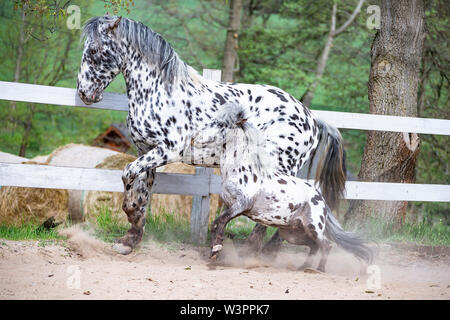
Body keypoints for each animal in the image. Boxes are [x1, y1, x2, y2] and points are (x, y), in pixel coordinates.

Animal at [76, 15, 348, 255]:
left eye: (94, 51)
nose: (84, 93)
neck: (161, 92)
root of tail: (311, 118)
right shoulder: (145, 150)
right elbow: (141, 190)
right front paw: (130, 238)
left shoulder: (167, 150)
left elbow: (127, 174)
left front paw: (132, 218)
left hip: (278, 167)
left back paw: (254, 251)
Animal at [193, 104, 372, 270]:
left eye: (221, 124)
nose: (195, 138)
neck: (241, 169)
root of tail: (320, 197)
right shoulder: (230, 204)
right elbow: (217, 223)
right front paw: (215, 251)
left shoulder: (243, 204)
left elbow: (221, 220)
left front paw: (216, 249)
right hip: (292, 233)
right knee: (313, 245)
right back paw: (303, 268)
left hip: (313, 227)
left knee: (326, 245)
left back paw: (318, 270)